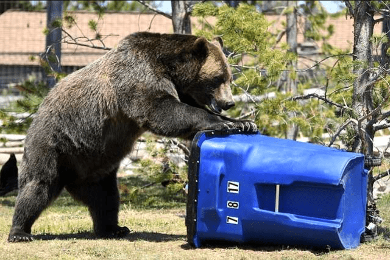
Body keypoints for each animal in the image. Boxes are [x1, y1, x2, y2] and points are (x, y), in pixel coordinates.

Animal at [7, 32, 258, 242]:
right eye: (218, 78)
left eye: (229, 77)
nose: (229, 102)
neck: (169, 68)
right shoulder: (138, 78)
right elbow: (164, 111)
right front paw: (223, 122)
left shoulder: (177, 88)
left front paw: (244, 122)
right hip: (53, 144)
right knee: (38, 186)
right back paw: (20, 231)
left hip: (94, 165)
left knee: (106, 198)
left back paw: (113, 228)